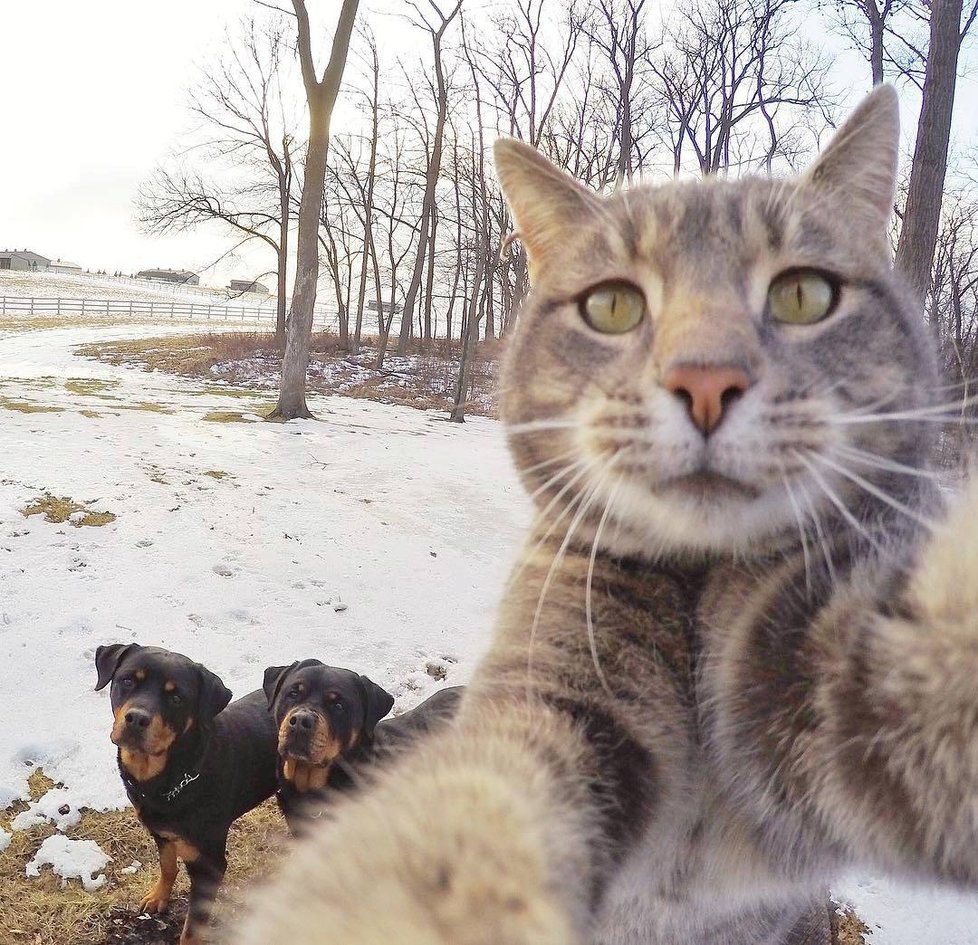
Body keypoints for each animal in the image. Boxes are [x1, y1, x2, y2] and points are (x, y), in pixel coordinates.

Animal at [95, 644, 276, 940]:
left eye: (177, 698)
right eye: (128, 680)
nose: (136, 718)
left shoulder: (209, 865)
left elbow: (193, 927)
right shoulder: (161, 832)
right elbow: (167, 865)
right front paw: (158, 897)